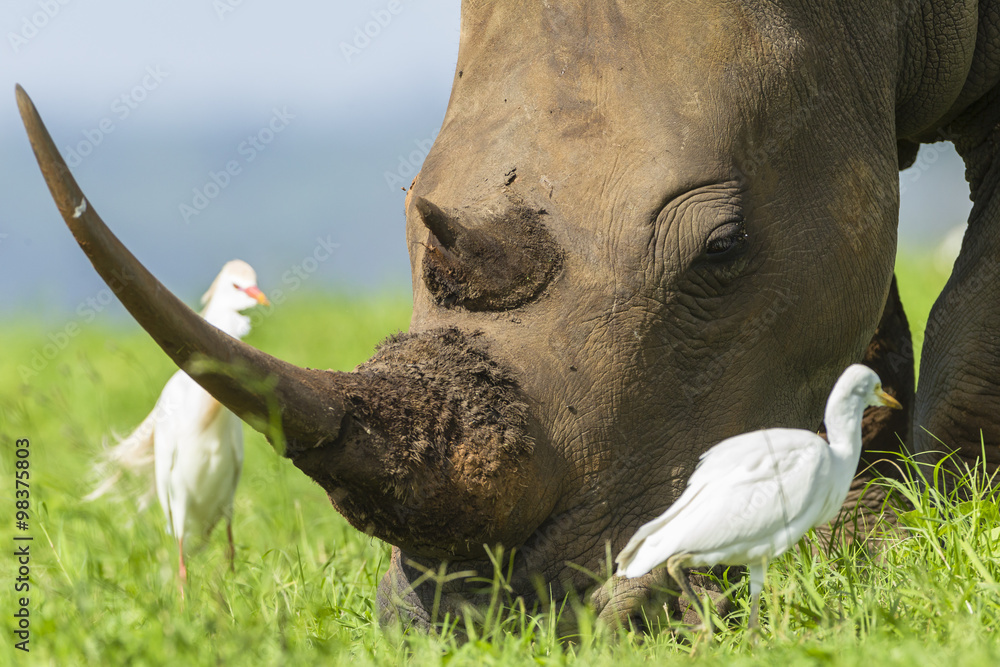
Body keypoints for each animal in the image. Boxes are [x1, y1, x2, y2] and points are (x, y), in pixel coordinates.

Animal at [17, 0, 1000, 629]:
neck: (873, 16)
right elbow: (860, 315)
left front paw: (910, 539)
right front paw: (846, 543)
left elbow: (971, 317)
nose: (471, 624)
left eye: (721, 248)